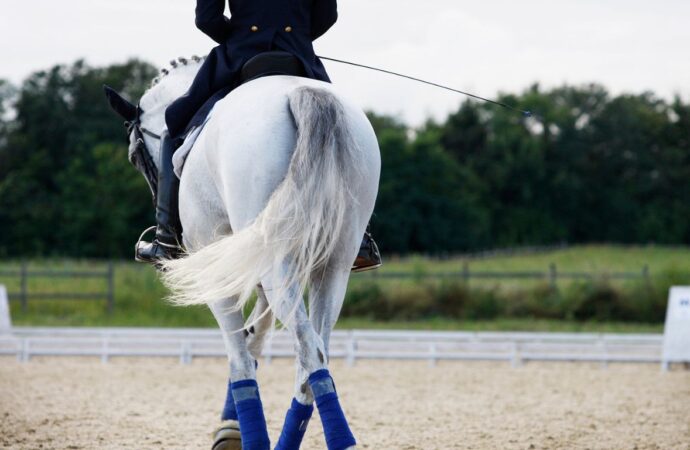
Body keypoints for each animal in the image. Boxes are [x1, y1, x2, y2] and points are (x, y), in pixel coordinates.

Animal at [105, 57, 381, 450]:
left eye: (134, 157)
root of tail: (302, 94)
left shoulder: (220, 269)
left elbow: (240, 356)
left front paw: (234, 430)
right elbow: (256, 336)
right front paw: (230, 424)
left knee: (307, 351)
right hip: (333, 266)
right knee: (314, 356)